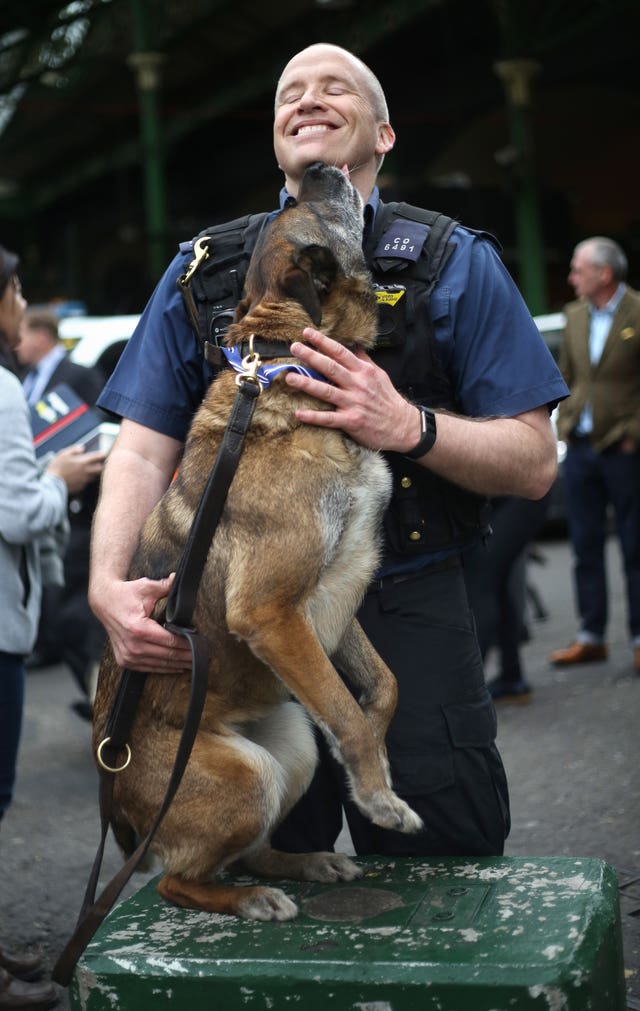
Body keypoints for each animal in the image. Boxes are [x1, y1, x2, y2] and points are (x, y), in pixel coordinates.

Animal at [92, 161, 422, 922]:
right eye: (312, 202)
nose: (319, 168)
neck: (286, 363)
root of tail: (119, 806)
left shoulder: (328, 601)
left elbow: (378, 688)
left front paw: (375, 767)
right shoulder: (273, 612)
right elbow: (348, 714)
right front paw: (381, 798)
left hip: (290, 749)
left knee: (248, 848)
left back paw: (306, 862)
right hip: (245, 778)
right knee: (181, 878)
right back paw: (251, 899)